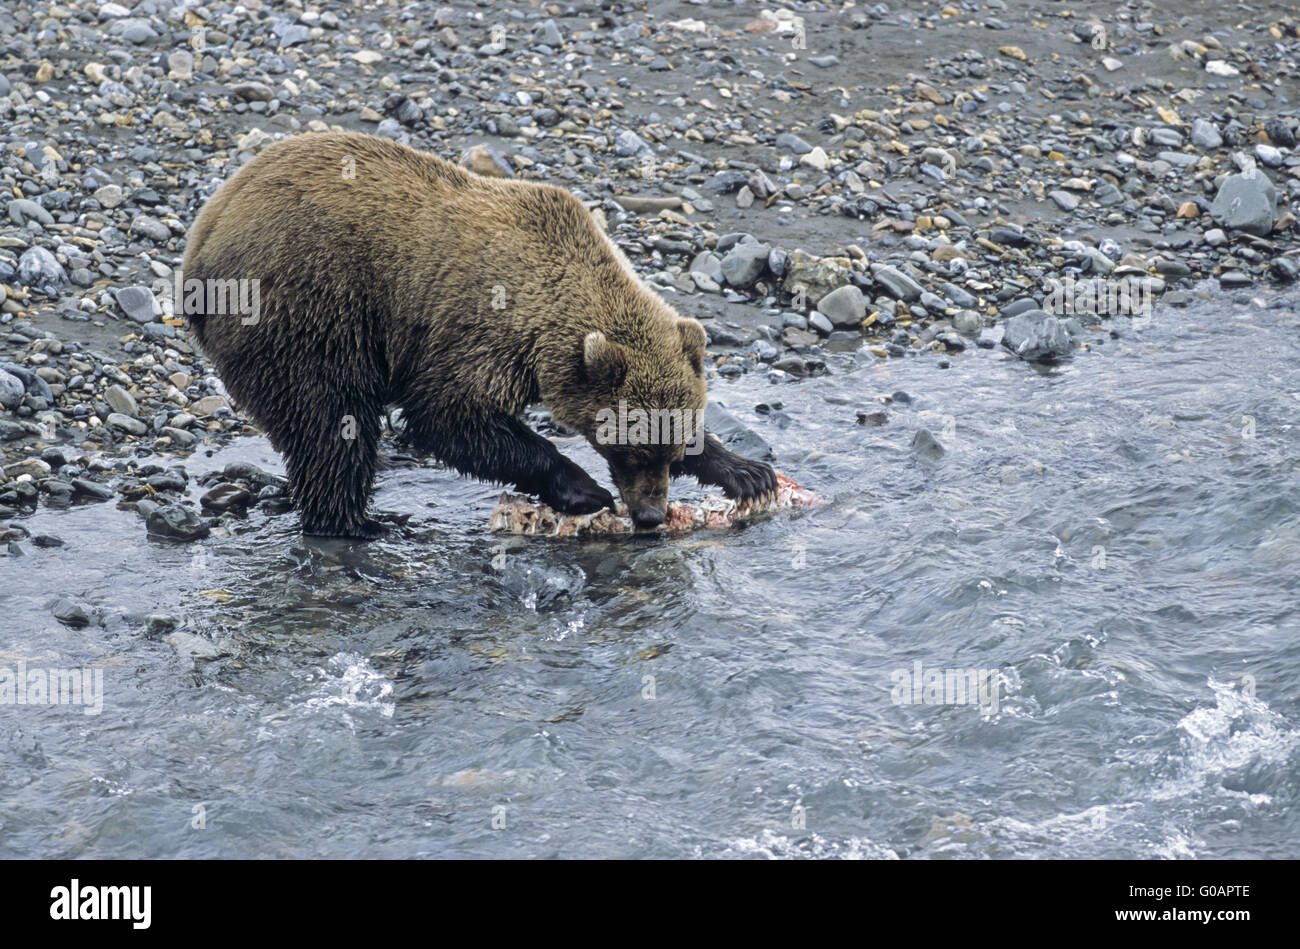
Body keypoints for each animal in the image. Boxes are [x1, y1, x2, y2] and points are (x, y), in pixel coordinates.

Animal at [181, 132, 776, 538]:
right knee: (330, 420)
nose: (651, 514)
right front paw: (584, 489)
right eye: (628, 450)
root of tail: (202, 240)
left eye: (671, 451)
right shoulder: (476, 328)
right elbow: (448, 416)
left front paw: (747, 472)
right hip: (307, 311)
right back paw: (359, 524)